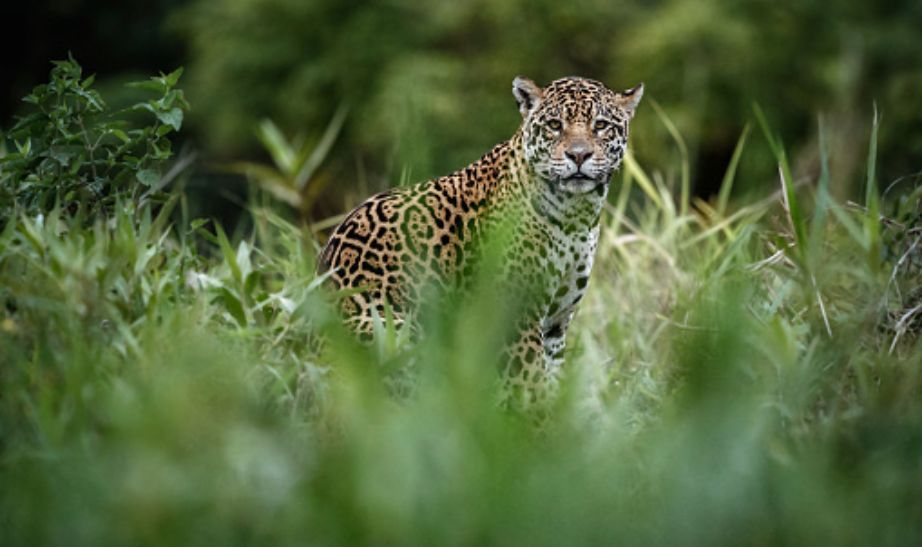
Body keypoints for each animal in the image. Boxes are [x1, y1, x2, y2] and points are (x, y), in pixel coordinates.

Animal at [319, 75, 643, 410]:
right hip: (389, 327)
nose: (578, 155)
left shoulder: (555, 325)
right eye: (555, 125)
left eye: (601, 125)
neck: (575, 216)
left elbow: (551, 382)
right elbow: (531, 386)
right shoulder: (514, 317)